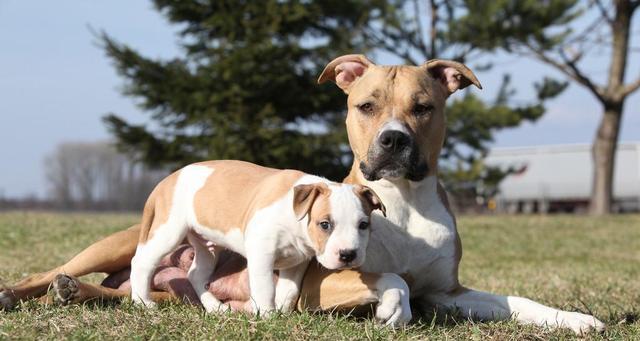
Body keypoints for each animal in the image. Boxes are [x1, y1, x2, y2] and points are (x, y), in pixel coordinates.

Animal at [2, 54, 604, 334]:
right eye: (366, 105)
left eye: (424, 107)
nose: (393, 140)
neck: (405, 204)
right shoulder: (323, 282)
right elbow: (390, 280)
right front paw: (392, 309)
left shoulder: (447, 292)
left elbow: (513, 302)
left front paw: (577, 319)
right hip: (123, 241)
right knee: (68, 272)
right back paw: (23, 292)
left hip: (174, 279)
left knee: (124, 292)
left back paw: (77, 295)